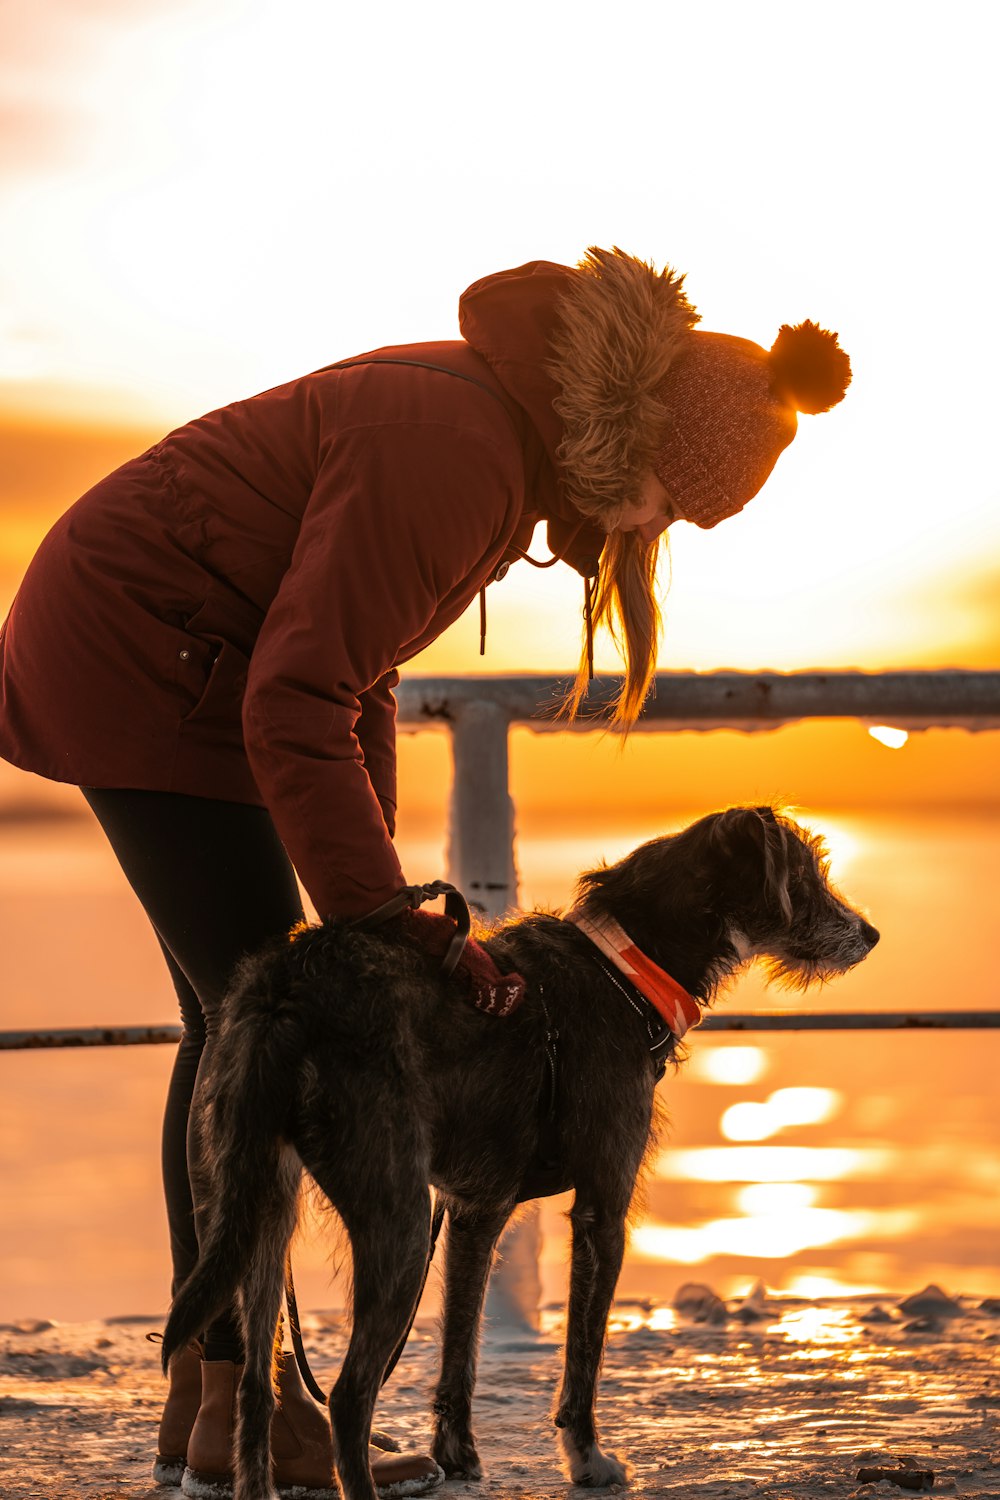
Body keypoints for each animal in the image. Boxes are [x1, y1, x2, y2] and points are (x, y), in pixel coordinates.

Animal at [162, 810, 875, 1500]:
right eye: (805, 875)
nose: (869, 934)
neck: (624, 965)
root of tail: (287, 992)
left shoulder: (475, 1211)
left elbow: (461, 1347)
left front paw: (458, 1454)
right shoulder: (603, 1206)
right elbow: (584, 1352)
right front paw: (587, 1461)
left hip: (258, 1206)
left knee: (257, 1390)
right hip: (396, 1216)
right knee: (348, 1397)